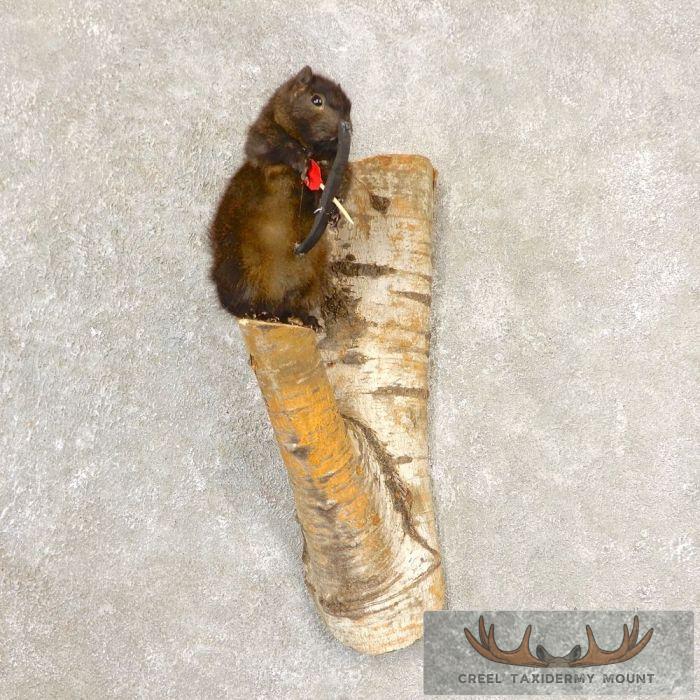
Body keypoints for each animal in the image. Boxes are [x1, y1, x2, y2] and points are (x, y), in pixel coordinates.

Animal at [209, 66, 352, 330]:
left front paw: (333, 212)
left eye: (349, 107)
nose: (345, 126)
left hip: (311, 282)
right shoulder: (262, 136)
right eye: (316, 100)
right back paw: (263, 315)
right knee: (243, 306)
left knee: (292, 308)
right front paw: (301, 161)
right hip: (240, 272)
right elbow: (270, 146)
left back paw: (307, 321)